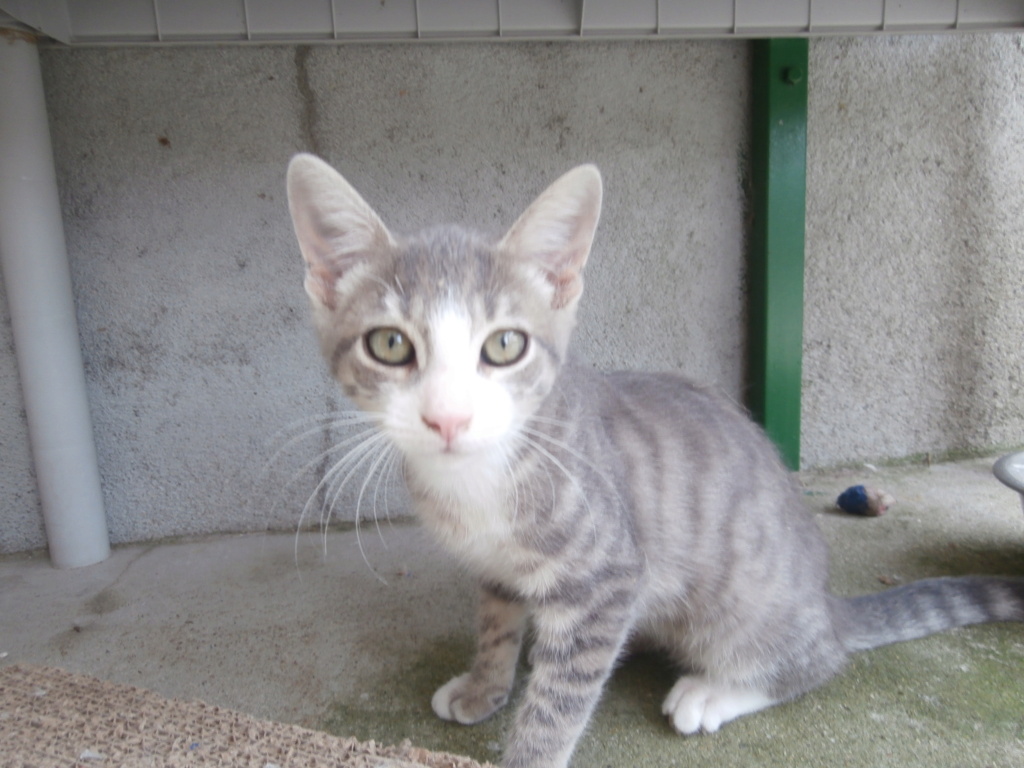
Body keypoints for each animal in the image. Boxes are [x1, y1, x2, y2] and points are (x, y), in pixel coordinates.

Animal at [284, 154, 1024, 768]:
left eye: (503, 346)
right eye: (389, 344)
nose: (448, 417)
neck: (477, 479)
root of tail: (825, 601)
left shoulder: (606, 574)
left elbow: (557, 704)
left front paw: (530, 743)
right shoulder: (500, 571)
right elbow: (496, 625)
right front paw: (485, 685)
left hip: (744, 607)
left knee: (812, 660)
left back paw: (716, 690)